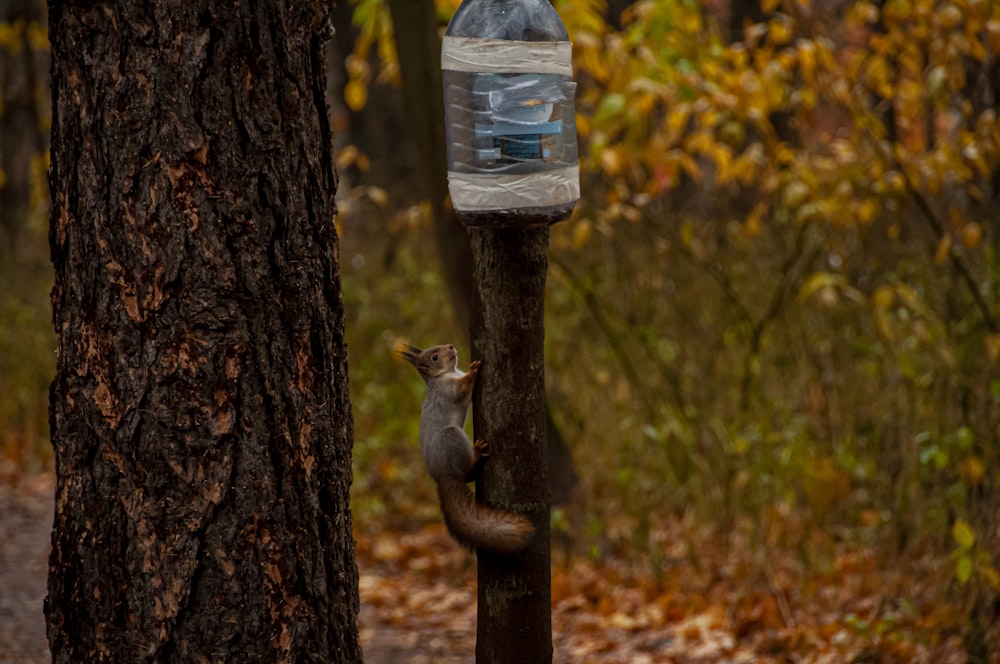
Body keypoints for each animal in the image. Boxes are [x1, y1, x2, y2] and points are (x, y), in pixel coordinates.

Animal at [402, 342, 536, 556]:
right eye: (434, 357)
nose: (451, 346)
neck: (449, 373)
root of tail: (441, 475)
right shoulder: (449, 390)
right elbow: (463, 388)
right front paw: (473, 370)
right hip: (451, 437)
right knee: (468, 472)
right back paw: (478, 455)